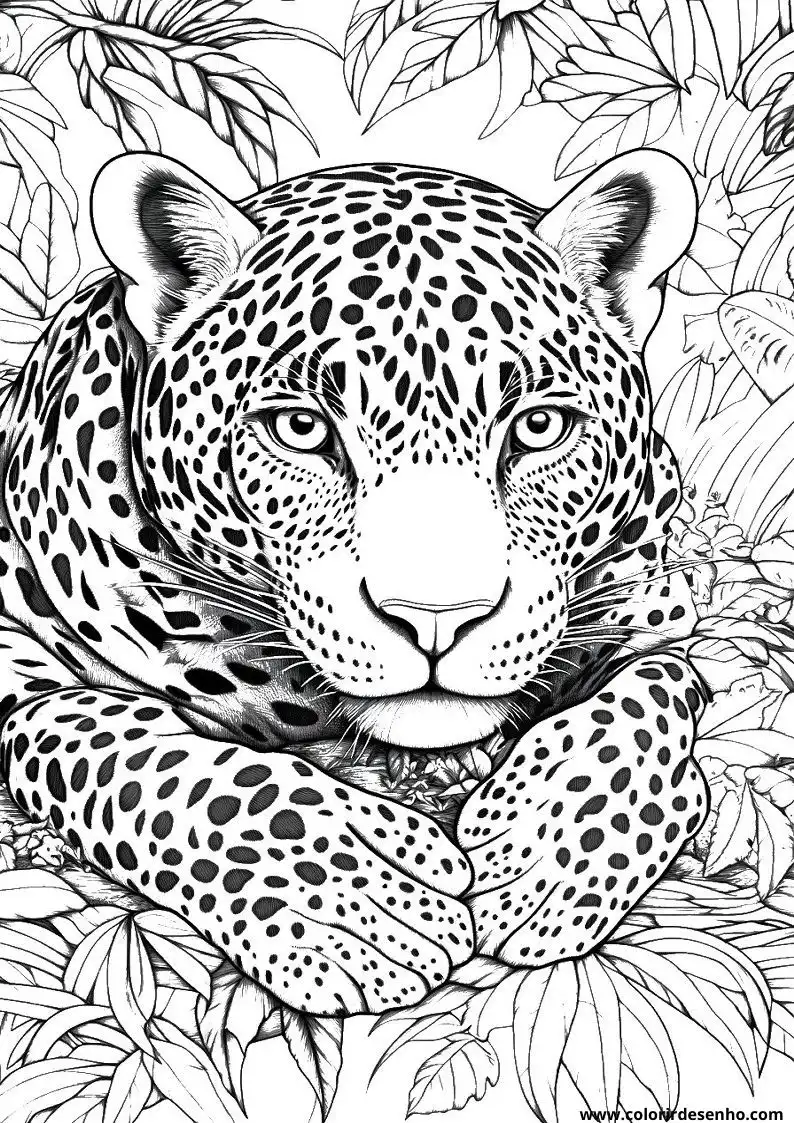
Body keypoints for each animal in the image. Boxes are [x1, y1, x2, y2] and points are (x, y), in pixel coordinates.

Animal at [0, 147, 710, 1014]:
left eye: (540, 426)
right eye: (301, 428)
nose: (438, 617)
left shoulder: (658, 612)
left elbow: (648, 698)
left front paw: (542, 857)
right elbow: (113, 740)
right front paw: (354, 905)